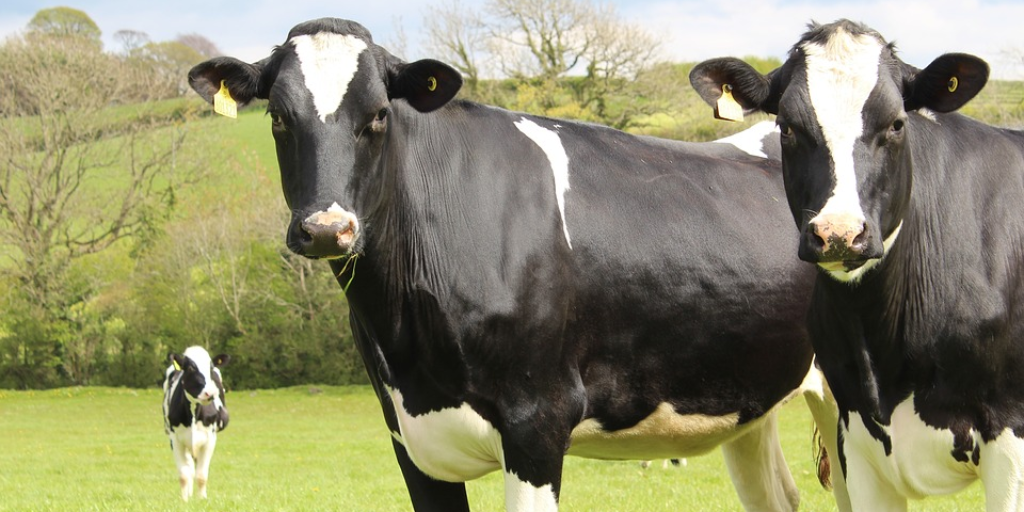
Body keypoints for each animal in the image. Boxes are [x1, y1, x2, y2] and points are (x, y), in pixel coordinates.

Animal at [162, 346, 231, 501]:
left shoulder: (210, 439)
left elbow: (201, 475)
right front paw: (184, 500)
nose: (209, 393)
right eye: (190, 368)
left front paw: (202, 499)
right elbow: (184, 474)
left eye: (210, 368)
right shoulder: (175, 439)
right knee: (190, 469)